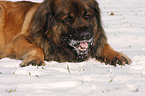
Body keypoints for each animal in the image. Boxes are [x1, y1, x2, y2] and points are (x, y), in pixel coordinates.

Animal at [0, 0, 131, 67]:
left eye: (87, 15)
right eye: (68, 18)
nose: (86, 35)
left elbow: (104, 45)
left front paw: (117, 55)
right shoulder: (17, 41)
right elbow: (37, 48)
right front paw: (34, 59)